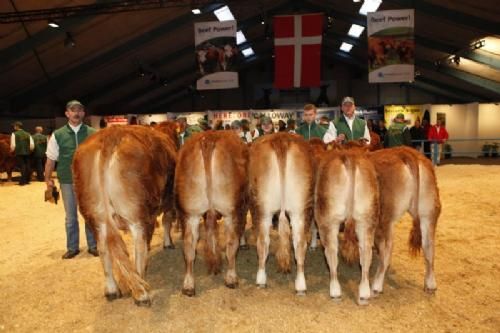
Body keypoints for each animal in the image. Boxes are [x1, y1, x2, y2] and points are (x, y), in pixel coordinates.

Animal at [73, 123, 178, 304]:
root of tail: (110, 135)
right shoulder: (167, 201)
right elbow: (166, 221)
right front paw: (167, 243)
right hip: (136, 213)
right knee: (139, 246)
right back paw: (142, 293)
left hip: (95, 216)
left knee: (103, 249)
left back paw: (112, 290)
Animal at [175, 130, 249, 296]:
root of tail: (208, 139)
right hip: (230, 211)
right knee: (231, 243)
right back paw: (231, 278)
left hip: (191, 212)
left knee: (189, 245)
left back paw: (188, 285)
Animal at [249, 132, 314, 294]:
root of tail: (281, 140)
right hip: (299, 208)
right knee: (299, 243)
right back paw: (301, 285)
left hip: (263, 207)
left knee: (263, 242)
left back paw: (261, 279)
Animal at [314, 148, 376, 304]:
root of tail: (350, 158)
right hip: (366, 219)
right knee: (366, 253)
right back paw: (364, 294)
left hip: (329, 219)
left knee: (331, 251)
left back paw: (335, 291)